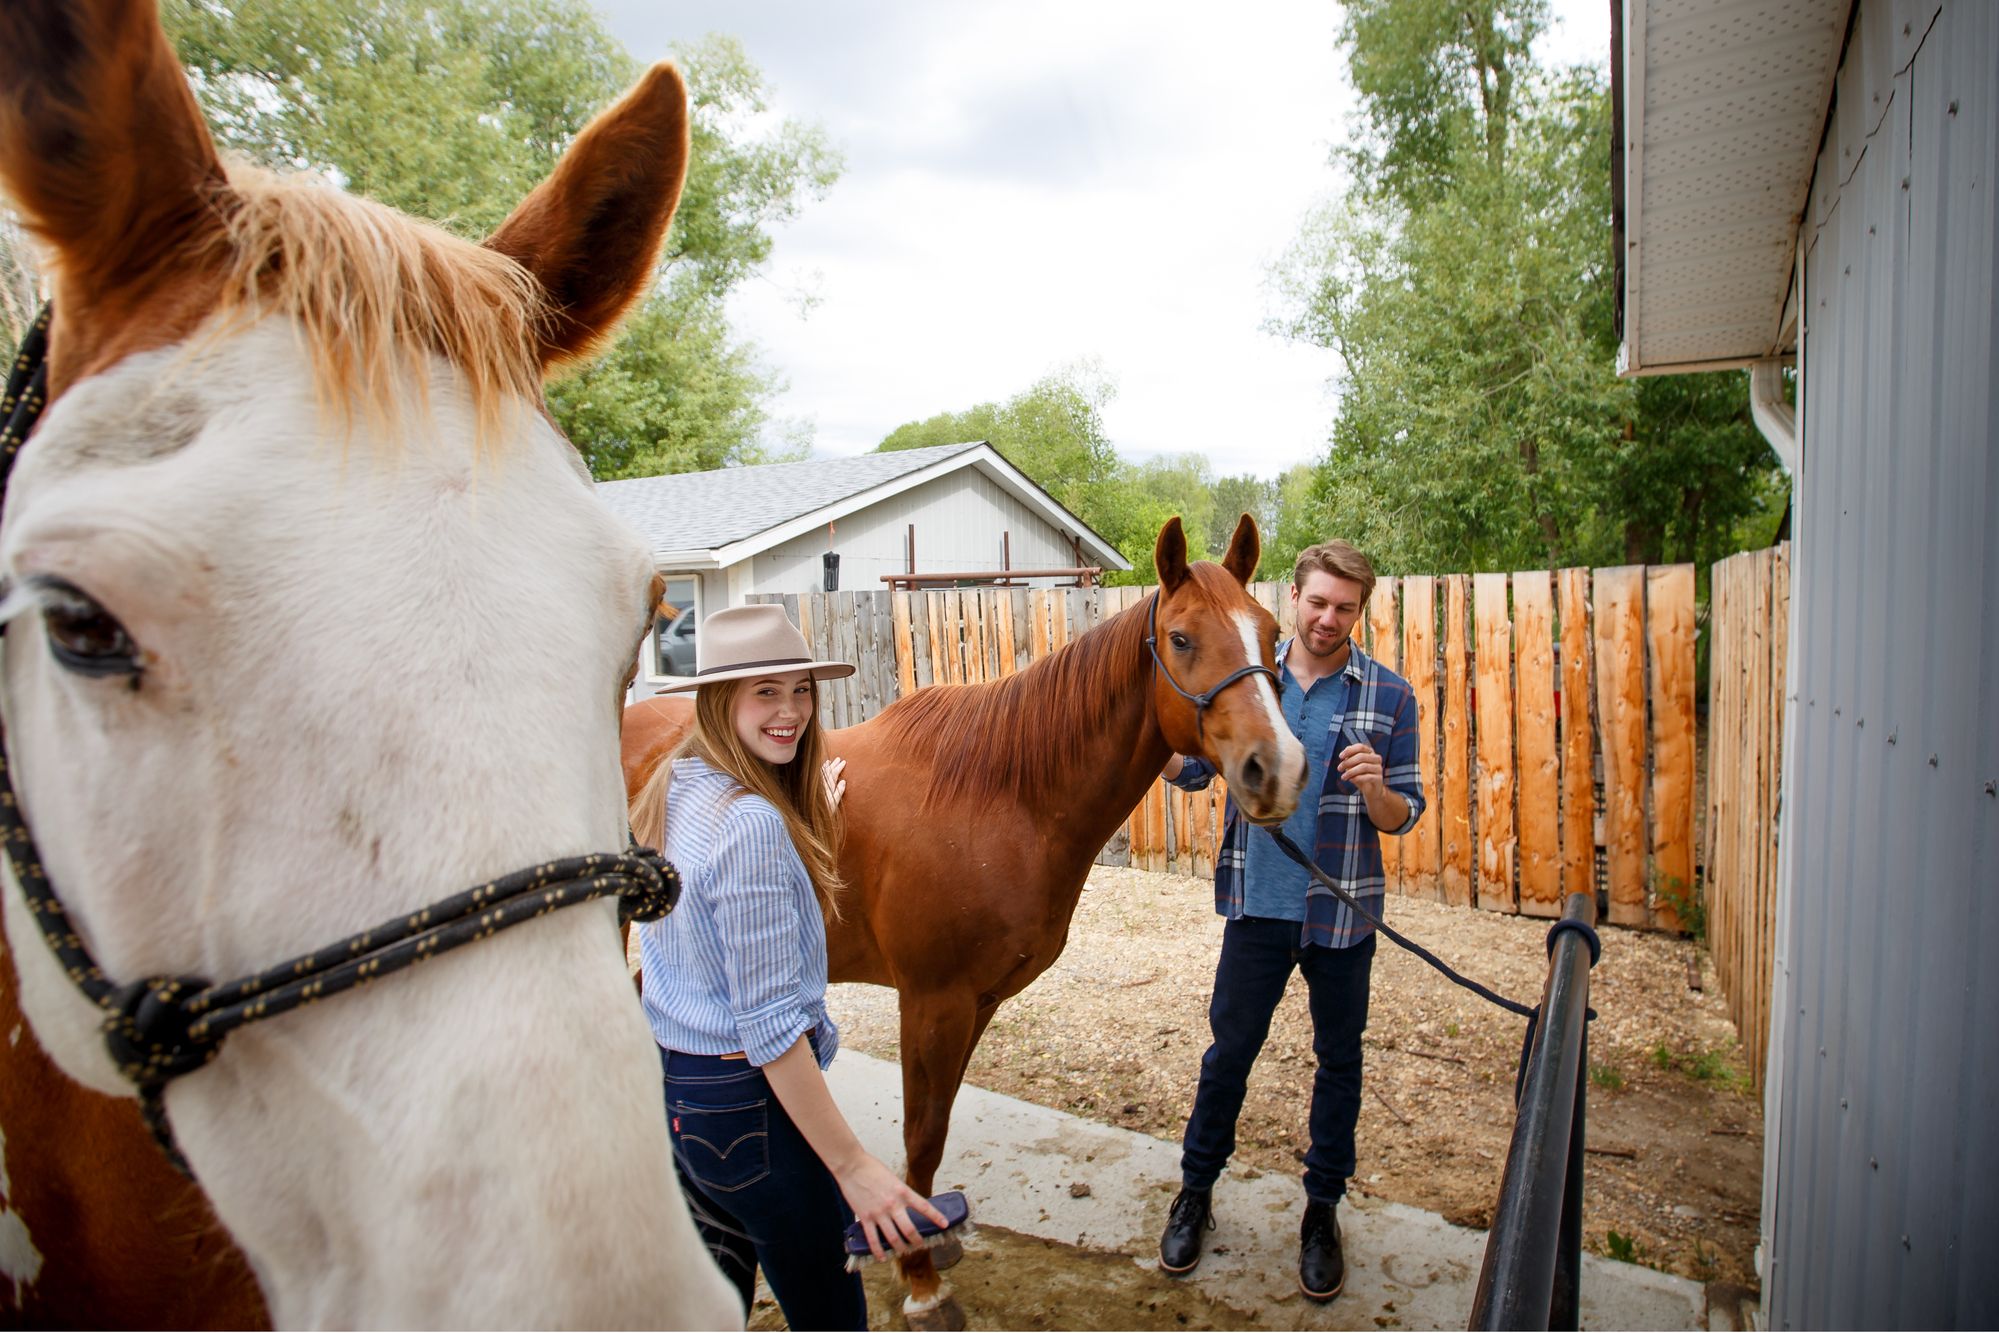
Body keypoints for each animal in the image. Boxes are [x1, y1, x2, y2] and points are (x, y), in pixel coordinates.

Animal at [623, 514, 1308, 1329]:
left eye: (1271, 632)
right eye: (1180, 639)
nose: (1279, 769)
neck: (998, 797)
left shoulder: (976, 1003)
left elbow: (938, 1127)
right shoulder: (932, 1000)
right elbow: (920, 1136)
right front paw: (919, 1278)